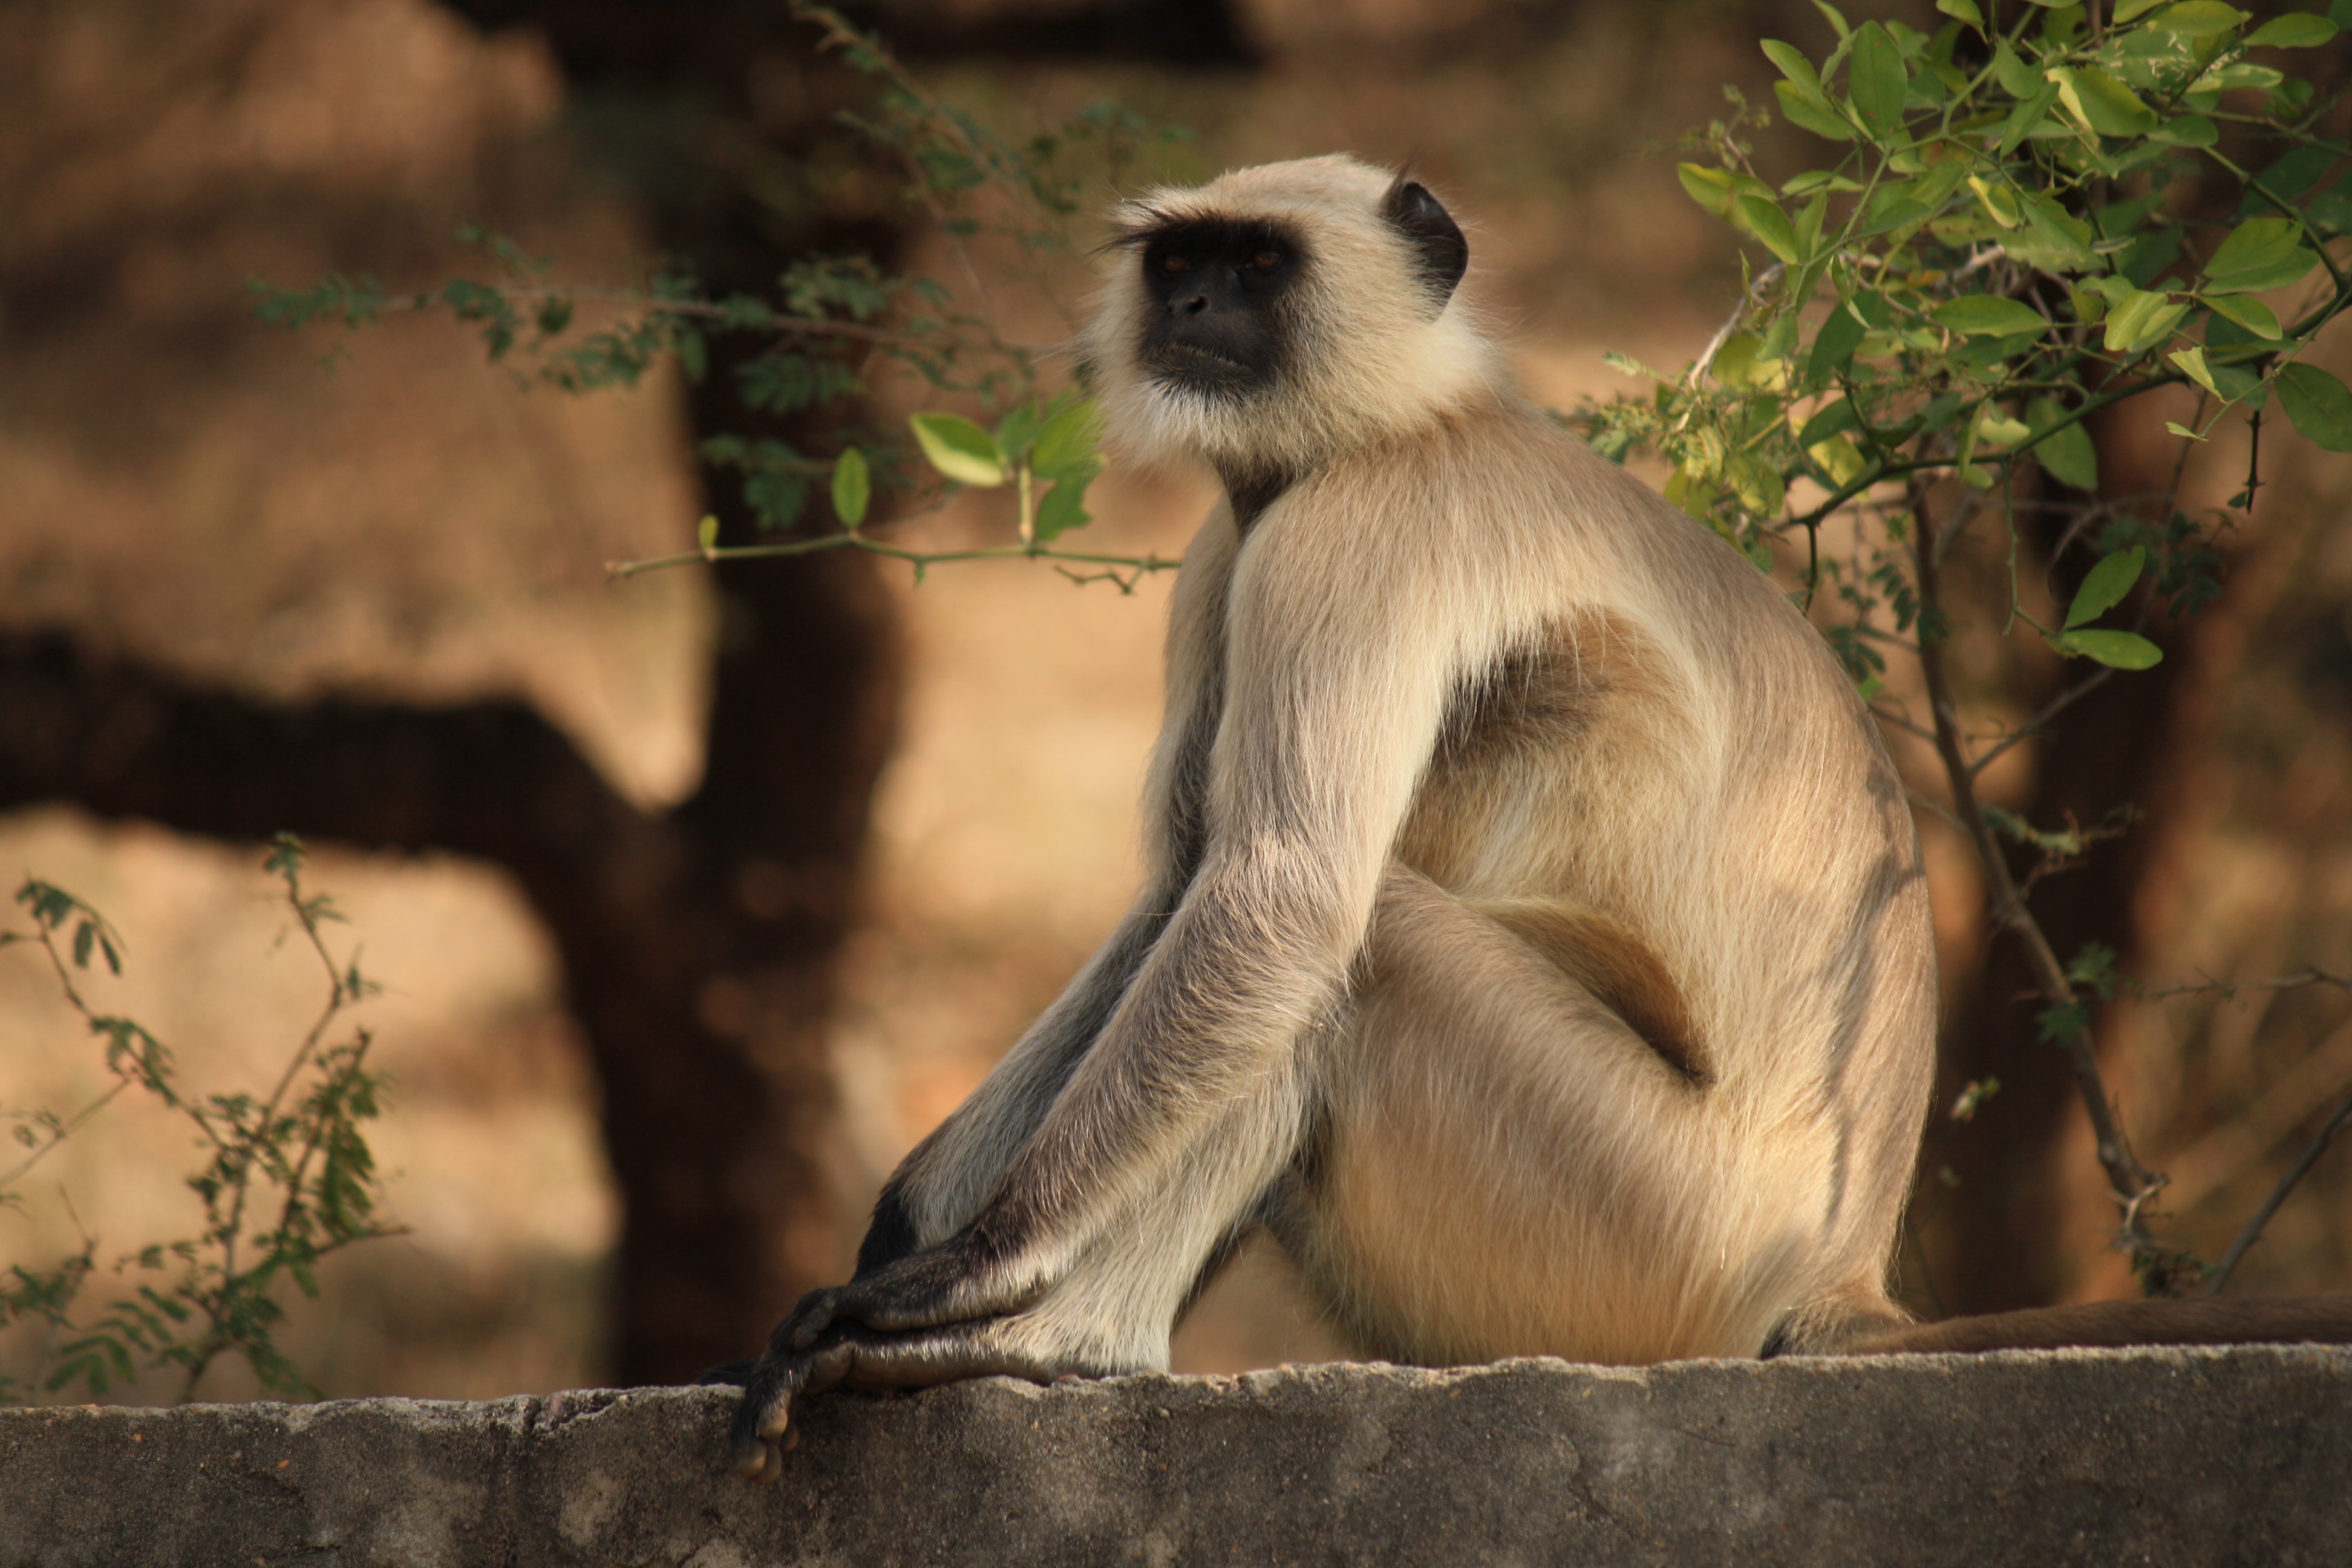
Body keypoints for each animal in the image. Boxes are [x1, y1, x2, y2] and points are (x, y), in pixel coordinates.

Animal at [724, 152, 2342, 1476]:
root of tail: (1839, 1277)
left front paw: (965, 1273)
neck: (1410, 421)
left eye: (1257, 264)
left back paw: (1053, 1344)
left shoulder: (1352, 531)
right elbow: (1187, 879)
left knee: (1363, 941)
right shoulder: (1234, 547)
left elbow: (1277, 894)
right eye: (1178, 256)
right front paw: (906, 1223)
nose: (1183, 297)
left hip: (1644, 1229)